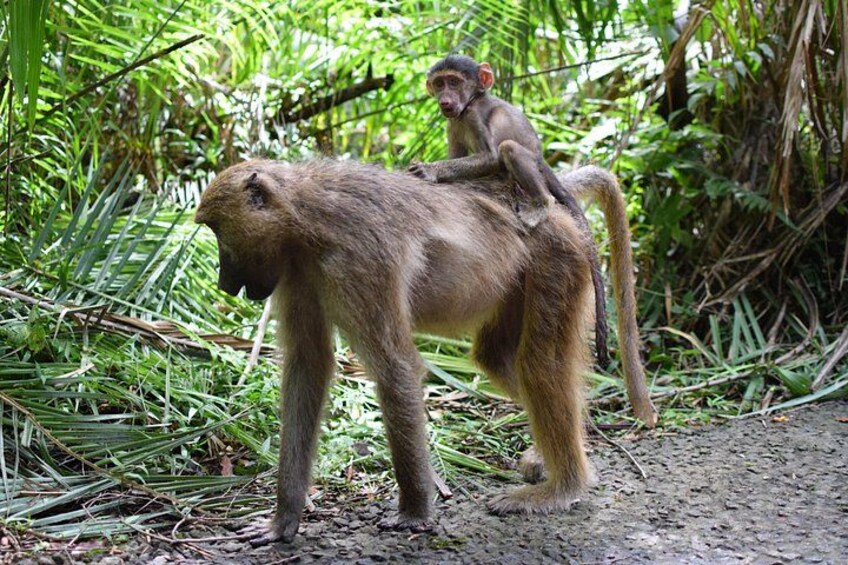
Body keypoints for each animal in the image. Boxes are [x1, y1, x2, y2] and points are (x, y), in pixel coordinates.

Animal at [194, 158, 655, 545]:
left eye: (217, 233)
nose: (220, 282)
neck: (304, 214)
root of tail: (546, 209)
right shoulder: (296, 272)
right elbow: (308, 368)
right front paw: (284, 520)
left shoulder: (360, 260)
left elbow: (393, 367)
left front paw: (414, 511)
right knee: (498, 358)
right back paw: (562, 448)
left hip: (558, 259)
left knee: (539, 365)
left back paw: (564, 486)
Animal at [408, 54, 610, 369]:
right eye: (439, 83)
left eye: (454, 81)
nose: (445, 99)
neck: (472, 101)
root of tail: (541, 160)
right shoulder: (454, 123)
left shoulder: (473, 115)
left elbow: (492, 156)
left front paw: (431, 170)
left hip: (529, 165)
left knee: (509, 148)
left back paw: (541, 203)